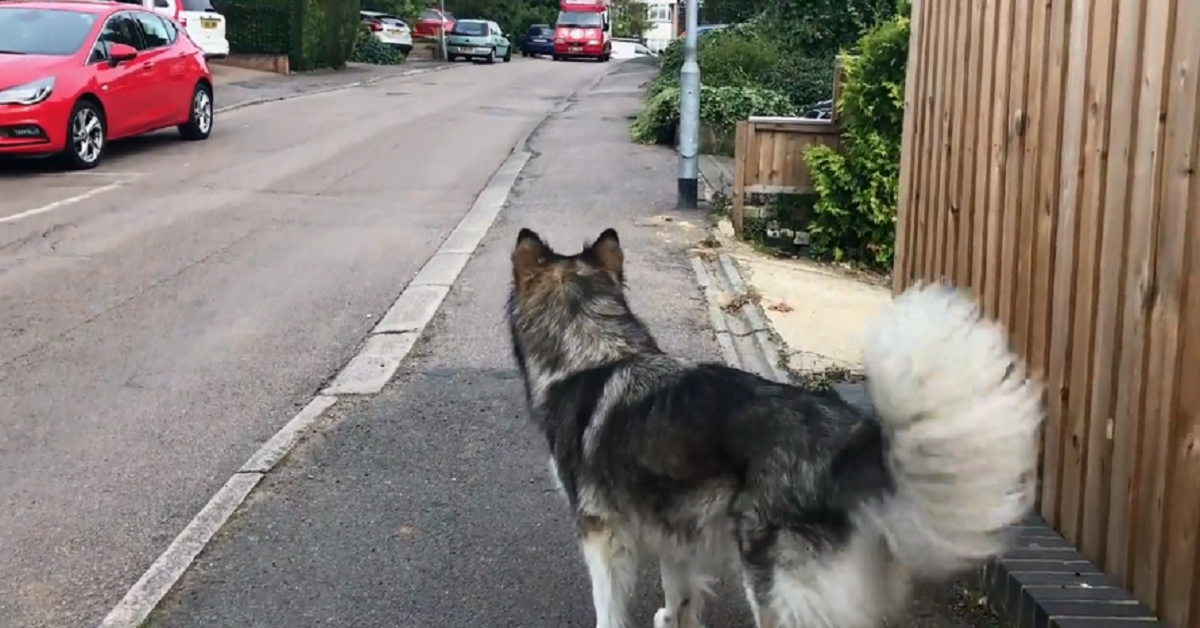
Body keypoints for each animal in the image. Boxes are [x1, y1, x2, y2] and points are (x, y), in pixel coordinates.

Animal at [506, 228, 1041, 628]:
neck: (595, 354)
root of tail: (854, 442)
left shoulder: (601, 532)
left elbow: (609, 606)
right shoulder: (672, 525)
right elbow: (679, 595)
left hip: (770, 579)